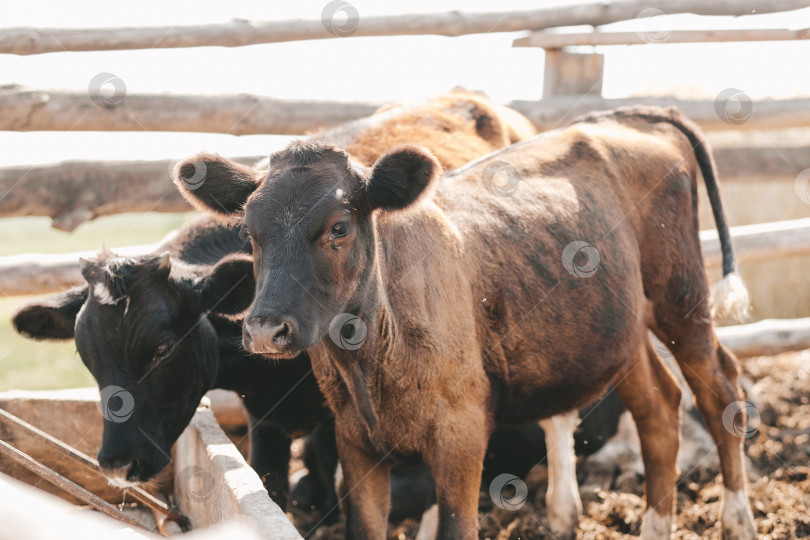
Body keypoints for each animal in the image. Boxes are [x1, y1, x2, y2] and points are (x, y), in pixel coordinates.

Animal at [174, 106, 756, 540]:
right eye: (249, 232)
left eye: (339, 226)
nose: (264, 330)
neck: (370, 359)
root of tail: (625, 120)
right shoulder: (353, 439)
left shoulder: (462, 435)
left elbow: (457, 526)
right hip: (619, 331)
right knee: (658, 407)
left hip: (681, 297)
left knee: (720, 387)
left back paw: (737, 520)